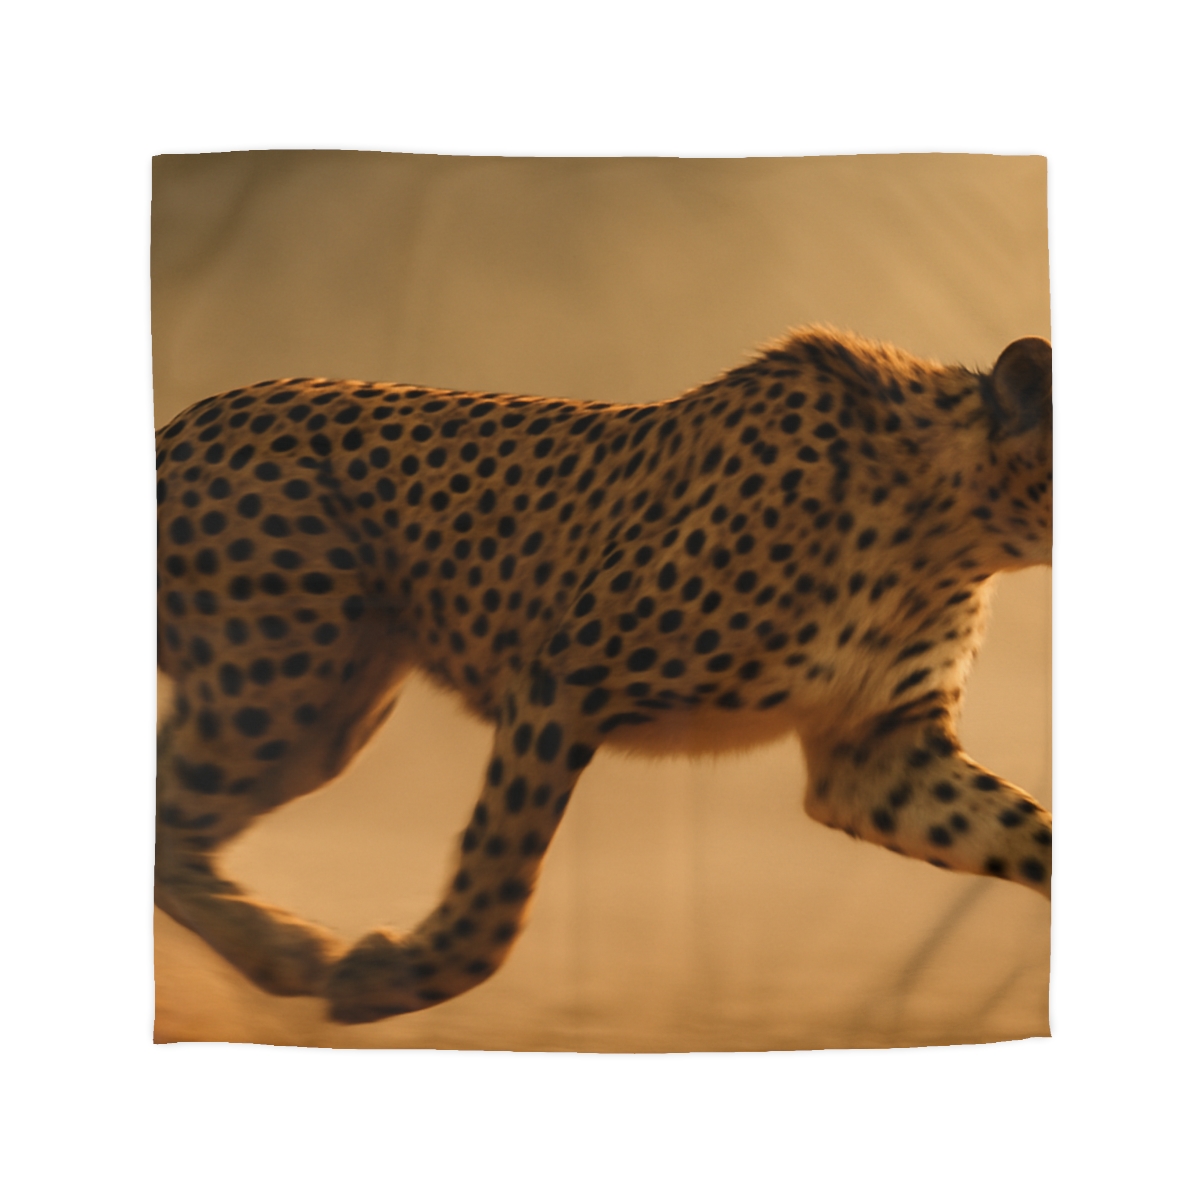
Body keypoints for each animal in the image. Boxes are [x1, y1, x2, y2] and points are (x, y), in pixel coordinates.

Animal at [155, 326, 1052, 1025]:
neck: (952, 517)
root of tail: (188, 420)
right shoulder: (560, 686)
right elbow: (497, 885)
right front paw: (392, 978)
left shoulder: (875, 756)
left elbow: (1031, 832)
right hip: (281, 685)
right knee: (168, 820)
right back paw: (288, 951)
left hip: (326, 708)